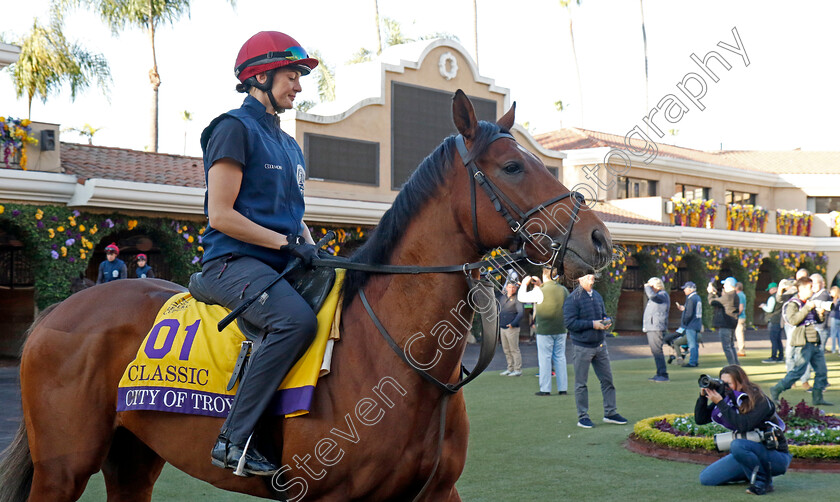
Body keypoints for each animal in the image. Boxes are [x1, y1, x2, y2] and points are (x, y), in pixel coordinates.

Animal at [3, 91, 612, 502]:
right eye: (512, 166)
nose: (599, 239)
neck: (398, 359)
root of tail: (58, 311)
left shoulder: (438, 492)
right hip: (63, 467)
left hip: (133, 456)